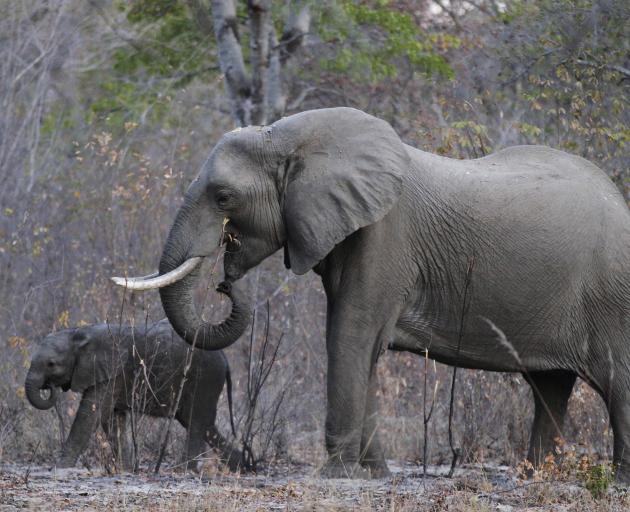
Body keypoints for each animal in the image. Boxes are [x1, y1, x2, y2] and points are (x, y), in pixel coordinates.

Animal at [25, 320, 242, 472]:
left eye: (51, 364)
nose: (50, 386)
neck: (78, 333)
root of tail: (225, 359)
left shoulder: (111, 370)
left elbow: (90, 415)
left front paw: (58, 468)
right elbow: (113, 419)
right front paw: (126, 469)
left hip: (204, 379)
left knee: (196, 424)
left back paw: (185, 471)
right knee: (204, 425)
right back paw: (242, 466)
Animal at [113, 107, 630, 480]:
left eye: (224, 197)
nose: (225, 282)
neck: (289, 136)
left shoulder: (385, 237)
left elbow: (349, 334)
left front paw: (335, 476)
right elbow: (361, 344)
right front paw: (376, 474)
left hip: (613, 294)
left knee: (616, 381)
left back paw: (615, 479)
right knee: (550, 386)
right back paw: (534, 475)